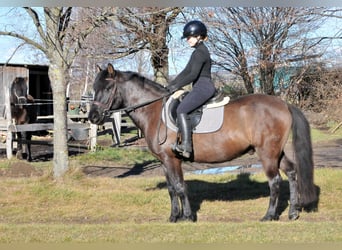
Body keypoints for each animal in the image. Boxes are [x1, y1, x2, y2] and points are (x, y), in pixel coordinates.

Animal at [88, 63, 318, 222]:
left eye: (107, 88)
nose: (92, 117)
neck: (154, 111)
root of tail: (284, 104)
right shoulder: (164, 161)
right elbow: (171, 188)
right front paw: (173, 216)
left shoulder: (172, 159)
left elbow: (180, 186)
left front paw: (187, 217)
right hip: (276, 152)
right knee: (292, 172)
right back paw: (293, 212)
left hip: (267, 153)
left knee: (275, 181)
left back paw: (269, 215)